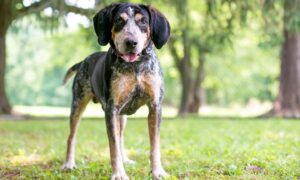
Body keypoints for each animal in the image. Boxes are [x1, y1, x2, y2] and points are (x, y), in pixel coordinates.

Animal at [61, 2, 169, 180]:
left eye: (143, 21)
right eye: (119, 20)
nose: (131, 42)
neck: (135, 66)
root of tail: (83, 61)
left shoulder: (155, 106)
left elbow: (155, 145)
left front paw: (157, 171)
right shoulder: (111, 109)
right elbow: (113, 147)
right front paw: (118, 173)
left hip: (122, 116)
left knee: (121, 137)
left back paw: (126, 159)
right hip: (78, 105)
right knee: (71, 137)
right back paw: (68, 164)